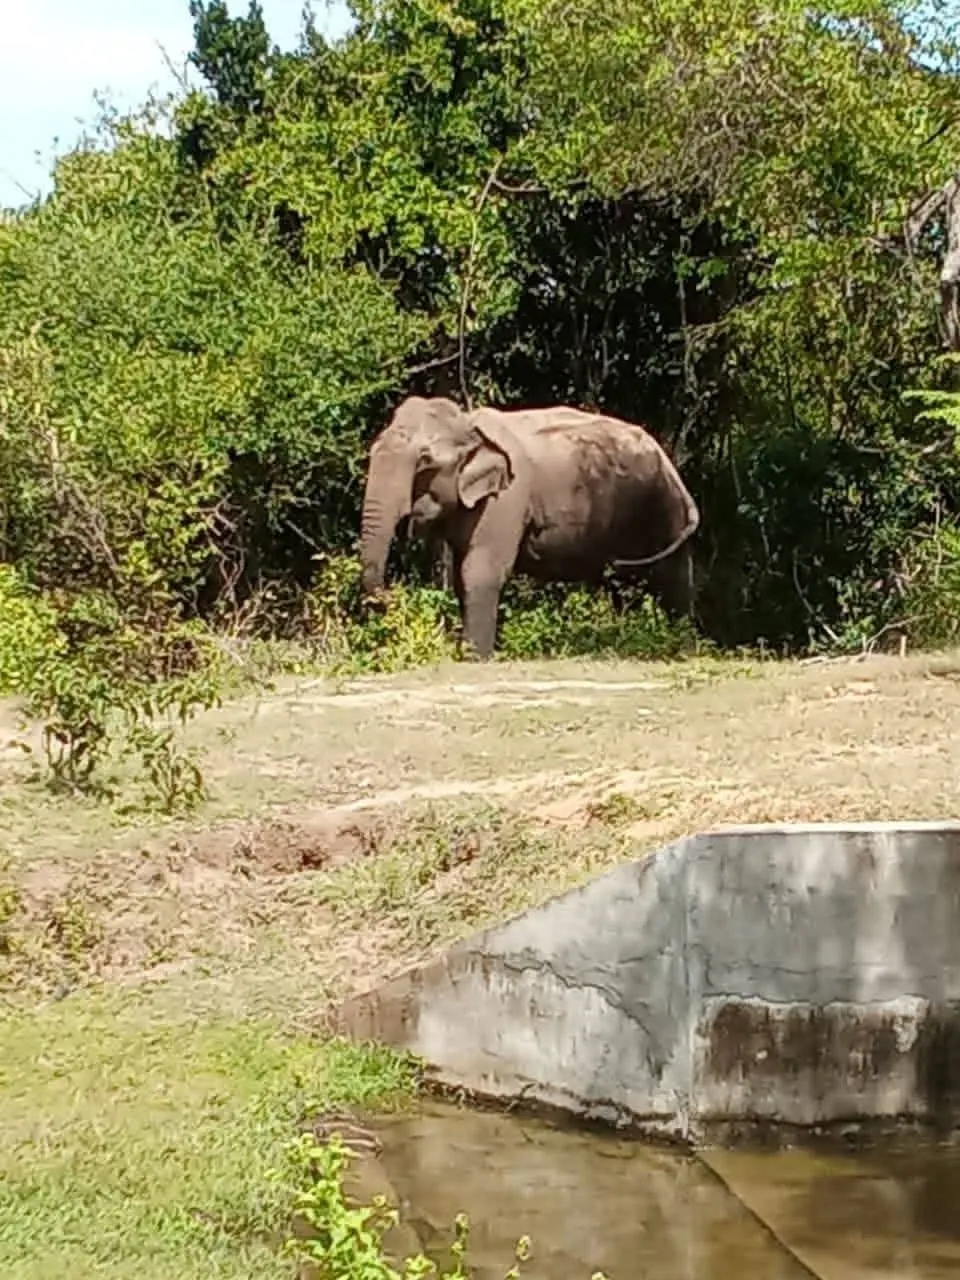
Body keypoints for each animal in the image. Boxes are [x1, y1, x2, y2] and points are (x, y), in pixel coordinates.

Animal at [358, 395, 700, 659]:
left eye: (425, 461)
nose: (393, 592)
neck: (470, 424)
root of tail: (671, 466)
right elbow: (460, 575)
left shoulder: (509, 498)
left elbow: (480, 570)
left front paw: (474, 657)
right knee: (624, 584)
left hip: (662, 509)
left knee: (671, 580)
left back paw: (680, 646)